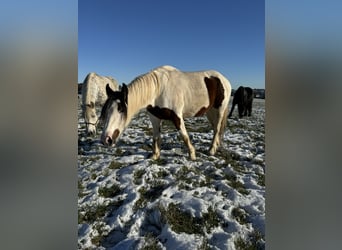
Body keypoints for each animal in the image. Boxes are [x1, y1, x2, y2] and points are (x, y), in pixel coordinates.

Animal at [100, 66, 231, 160]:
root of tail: (224, 80)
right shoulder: (154, 117)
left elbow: (184, 136)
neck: (158, 90)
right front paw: (155, 155)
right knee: (215, 127)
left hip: (220, 109)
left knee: (217, 128)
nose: (106, 140)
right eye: (106, 110)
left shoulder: (177, 116)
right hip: (210, 111)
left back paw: (212, 150)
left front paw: (192, 155)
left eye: (120, 109)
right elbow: (156, 137)